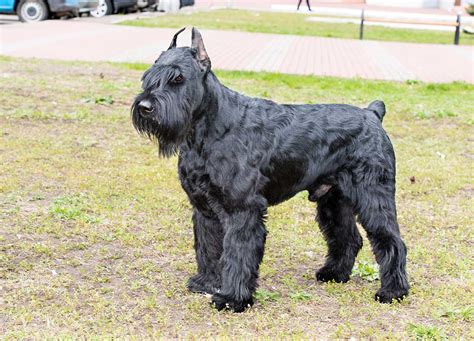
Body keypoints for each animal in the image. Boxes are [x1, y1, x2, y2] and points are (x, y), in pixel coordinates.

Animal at [131, 27, 410, 312]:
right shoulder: (204, 209)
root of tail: (372, 114)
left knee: (392, 241)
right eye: (149, 76)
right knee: (348, 237)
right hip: (334, 200)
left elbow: (237, 253)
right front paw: (206, 283)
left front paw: (233, 298)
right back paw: (334, 274)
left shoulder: (242, 210)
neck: (208, 130)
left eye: (178, 77)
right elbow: (208, 248)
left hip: (373, 197)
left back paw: (393, 291)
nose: (145, 107)